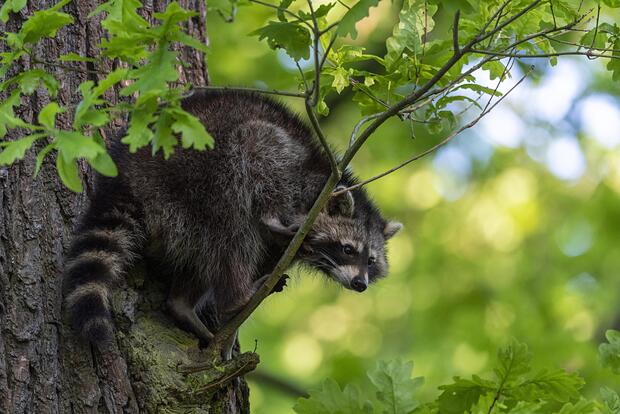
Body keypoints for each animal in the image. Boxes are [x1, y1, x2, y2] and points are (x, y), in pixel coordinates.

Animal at [63, 90, 402, 346]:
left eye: (371, 261)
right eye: (348, 249)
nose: (360, 284)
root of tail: (126, 175)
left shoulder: (283, 250)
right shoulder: (293, 176)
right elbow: (264, 156)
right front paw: (271, 218)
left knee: (203, 254)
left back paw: (184, 305)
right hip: (198, 176)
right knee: (232, 229)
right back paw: (238, 295)